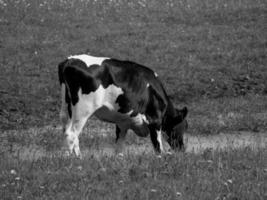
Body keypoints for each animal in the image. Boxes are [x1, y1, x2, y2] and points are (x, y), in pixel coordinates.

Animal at [58, 54, 188, 157]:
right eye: (182, 127)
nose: (182, 149)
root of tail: (70, 60)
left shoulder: (122, 123)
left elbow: (119, 146)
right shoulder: (154, 120)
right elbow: (158, 146)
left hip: (66, 107)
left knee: (67, 131)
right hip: (83, 109)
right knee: (72, 133)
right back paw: (75, 159)